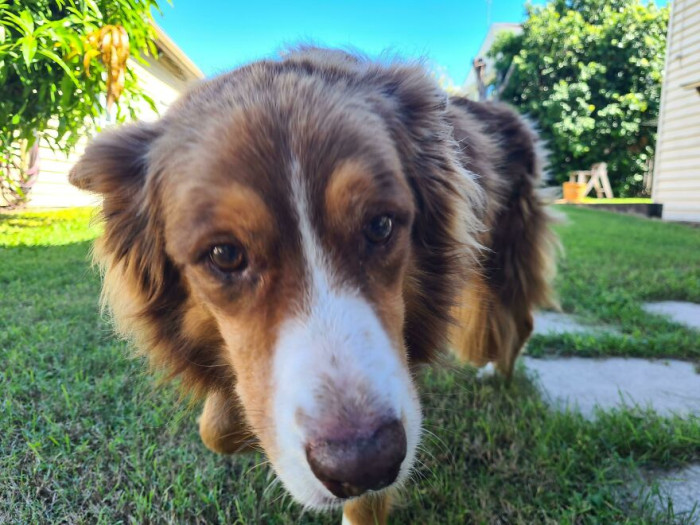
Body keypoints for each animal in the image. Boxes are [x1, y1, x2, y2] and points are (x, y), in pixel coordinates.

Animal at [68, 47, 556, 520]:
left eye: (380, 225)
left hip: (501, 255)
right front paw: (240, 424)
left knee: (520, 320)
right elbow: (215, 428)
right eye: (224, 254)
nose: (366, 465)